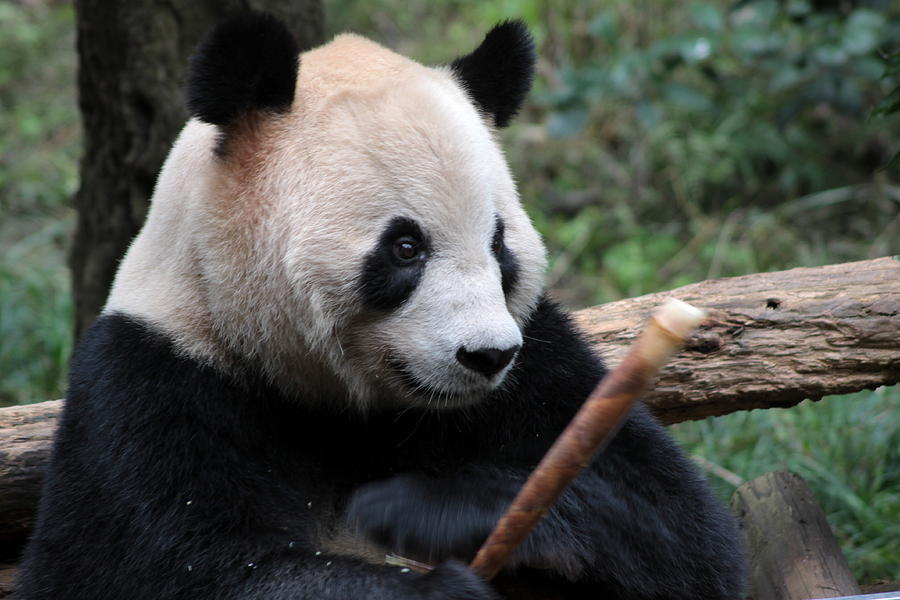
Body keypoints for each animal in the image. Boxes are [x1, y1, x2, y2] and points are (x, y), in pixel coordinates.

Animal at [17, 10, 748, 600]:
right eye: (405, 248)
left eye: (499, 245)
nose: (486, 356)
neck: (348, 409)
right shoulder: (154, 379)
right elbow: (163, 568)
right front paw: (441, 589)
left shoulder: (541, 364)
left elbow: (686, 531)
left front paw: (419, 508)